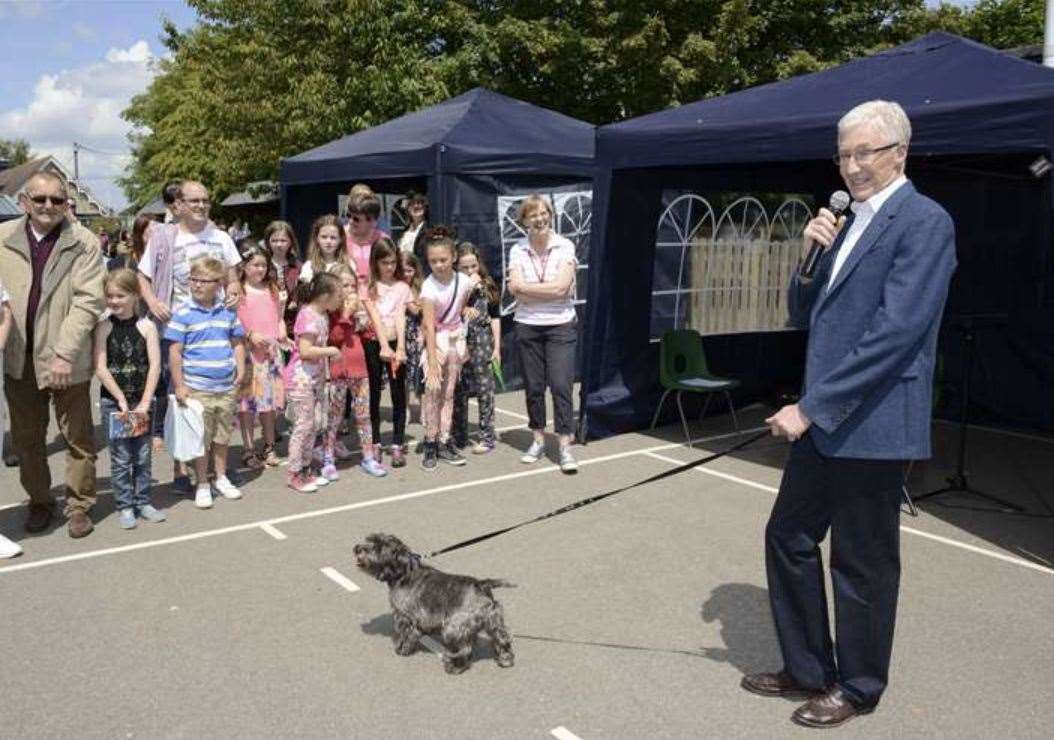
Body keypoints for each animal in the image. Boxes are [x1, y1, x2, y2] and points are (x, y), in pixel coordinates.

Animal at [356, 535, 516, 674]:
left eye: (377, 547)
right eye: (369, 540)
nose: (357, 548)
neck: (403, 572)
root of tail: (481, 585)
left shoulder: (405, 618)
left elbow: (406, 635)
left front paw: (402, 650)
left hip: (454, 628)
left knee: (463, 649)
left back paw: (454, 667)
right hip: (494, 623)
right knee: (503, 640)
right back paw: (505, 661)